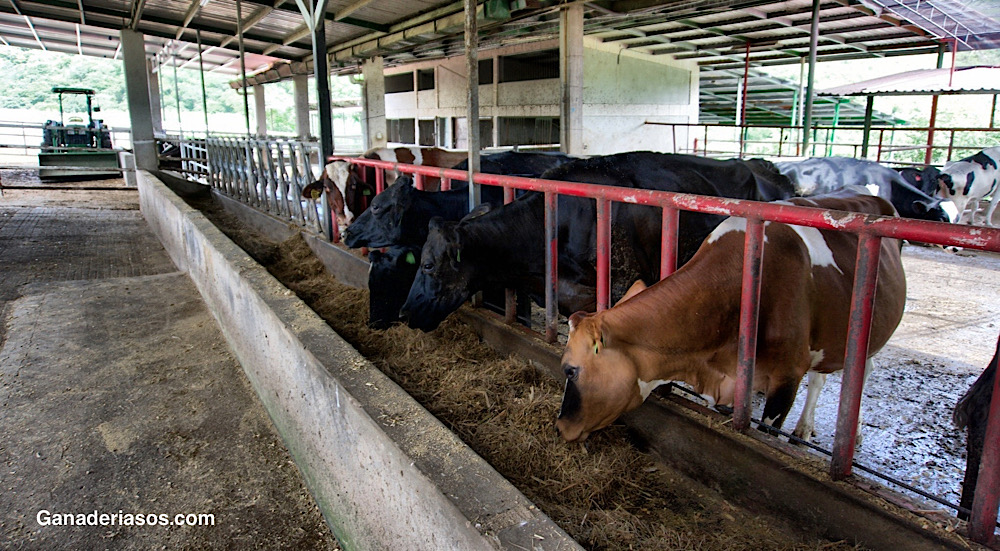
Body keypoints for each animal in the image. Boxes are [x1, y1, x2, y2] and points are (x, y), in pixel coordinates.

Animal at [556, 190, 908, 444]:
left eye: (570, 370)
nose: (559, 427)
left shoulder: (786, 377)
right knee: (822, 375)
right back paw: (804, 428)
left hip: (867, 335)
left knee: (861, 372)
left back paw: (853, 432)